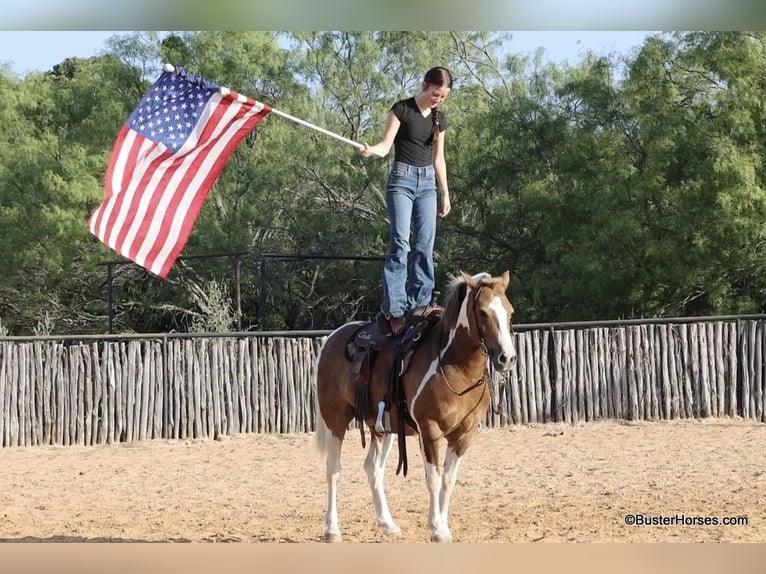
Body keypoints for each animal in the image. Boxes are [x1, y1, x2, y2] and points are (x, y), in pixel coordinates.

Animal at [314, 270, 517, 542]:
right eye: (483, 312)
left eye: (510, 312)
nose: (507, 357)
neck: (456, 366)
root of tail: (332, 338)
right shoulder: (430, 431)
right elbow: (433, 478)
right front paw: (437, 528)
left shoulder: (464, 435)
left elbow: (448, 480)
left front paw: (443, 525)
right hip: (335, 419)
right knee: (333, 469)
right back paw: (332, 529)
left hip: (383, 427)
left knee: (373, 468)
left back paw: (387, 523)